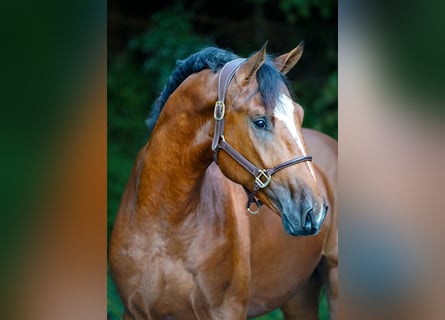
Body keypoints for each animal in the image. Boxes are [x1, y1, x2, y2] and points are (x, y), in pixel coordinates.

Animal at [108, 43, 336, 320]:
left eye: (299, 115)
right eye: (260, 121)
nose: (315, 211)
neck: (165, 221)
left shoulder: (226, 311)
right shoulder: (134, 312)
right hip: (298, 295)